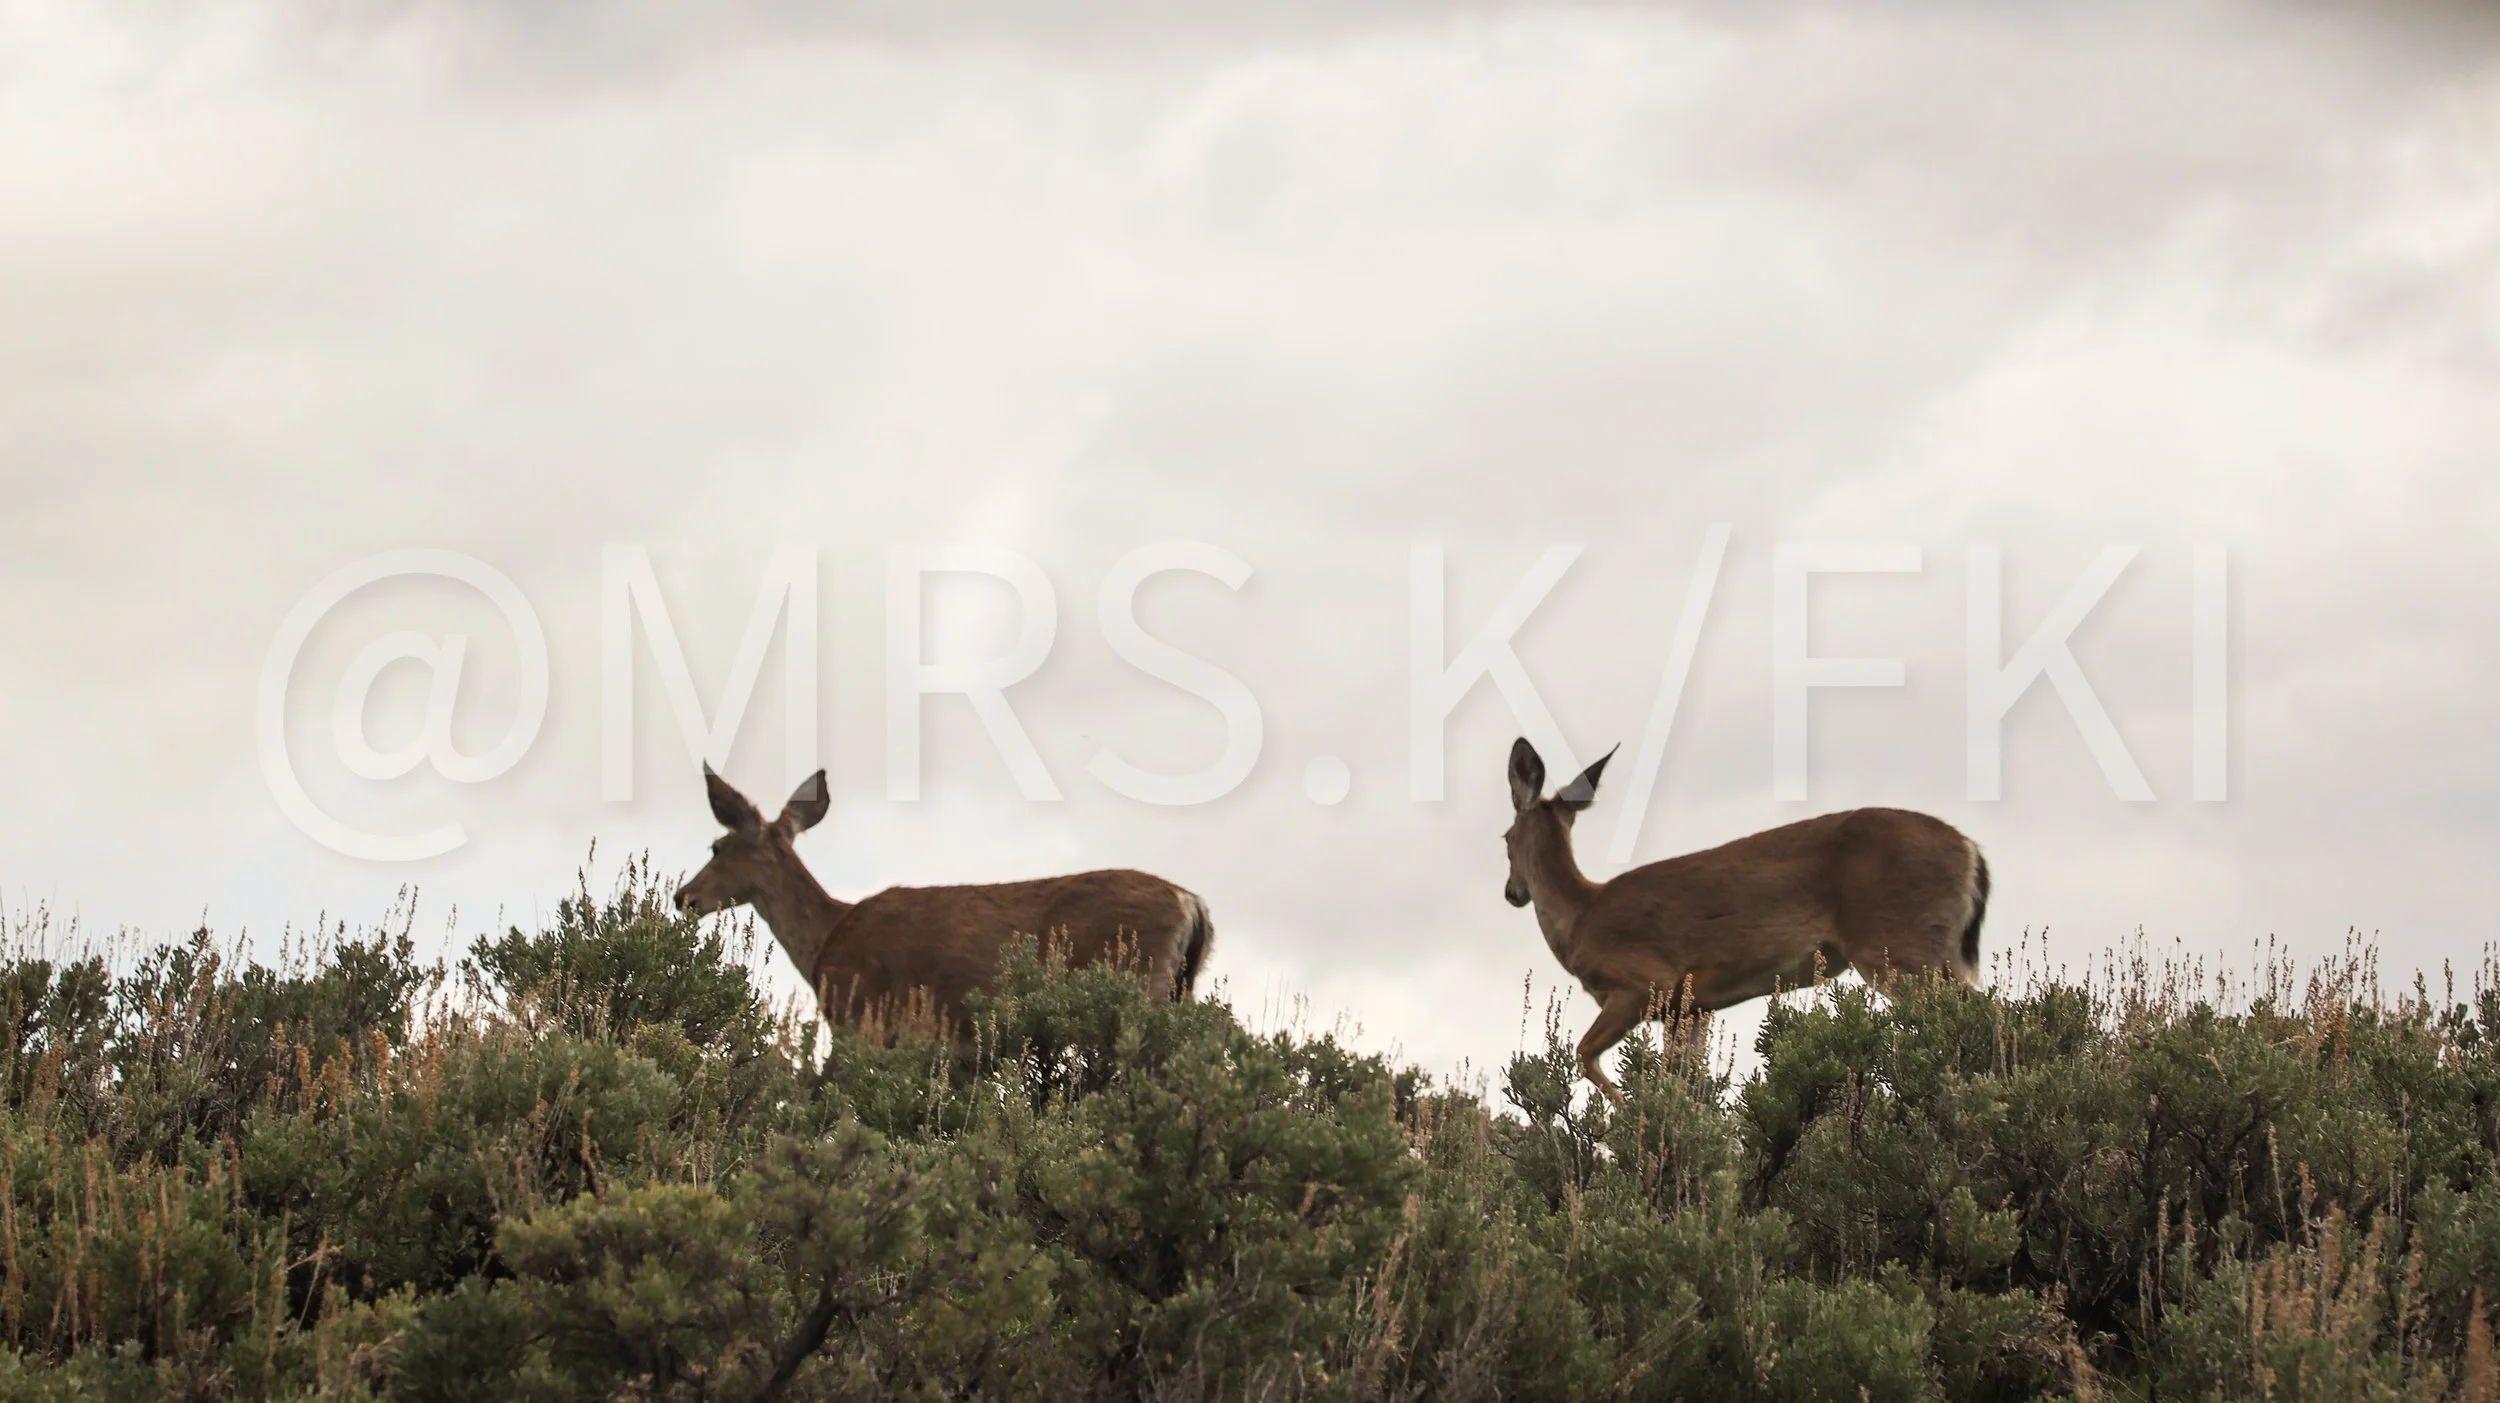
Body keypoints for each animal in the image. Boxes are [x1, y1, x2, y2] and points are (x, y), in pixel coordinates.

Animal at [673, 766, 1216, 1040]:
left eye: (716, 847)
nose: (683, 896)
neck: (825, 940)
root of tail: (1192, 904)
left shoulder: (860, 1013)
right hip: (1179, 989)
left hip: (1137, 984)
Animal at [1501, 736, 1988, 1104]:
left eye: (1504, 838)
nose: (1512, 893)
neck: (1580, 916)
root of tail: (1971, 850)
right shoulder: (1691, 1008)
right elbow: (1686, 1081)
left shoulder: (1644, 980)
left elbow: (1584, 1053)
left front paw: (1624, 1118)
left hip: (1898, 946)